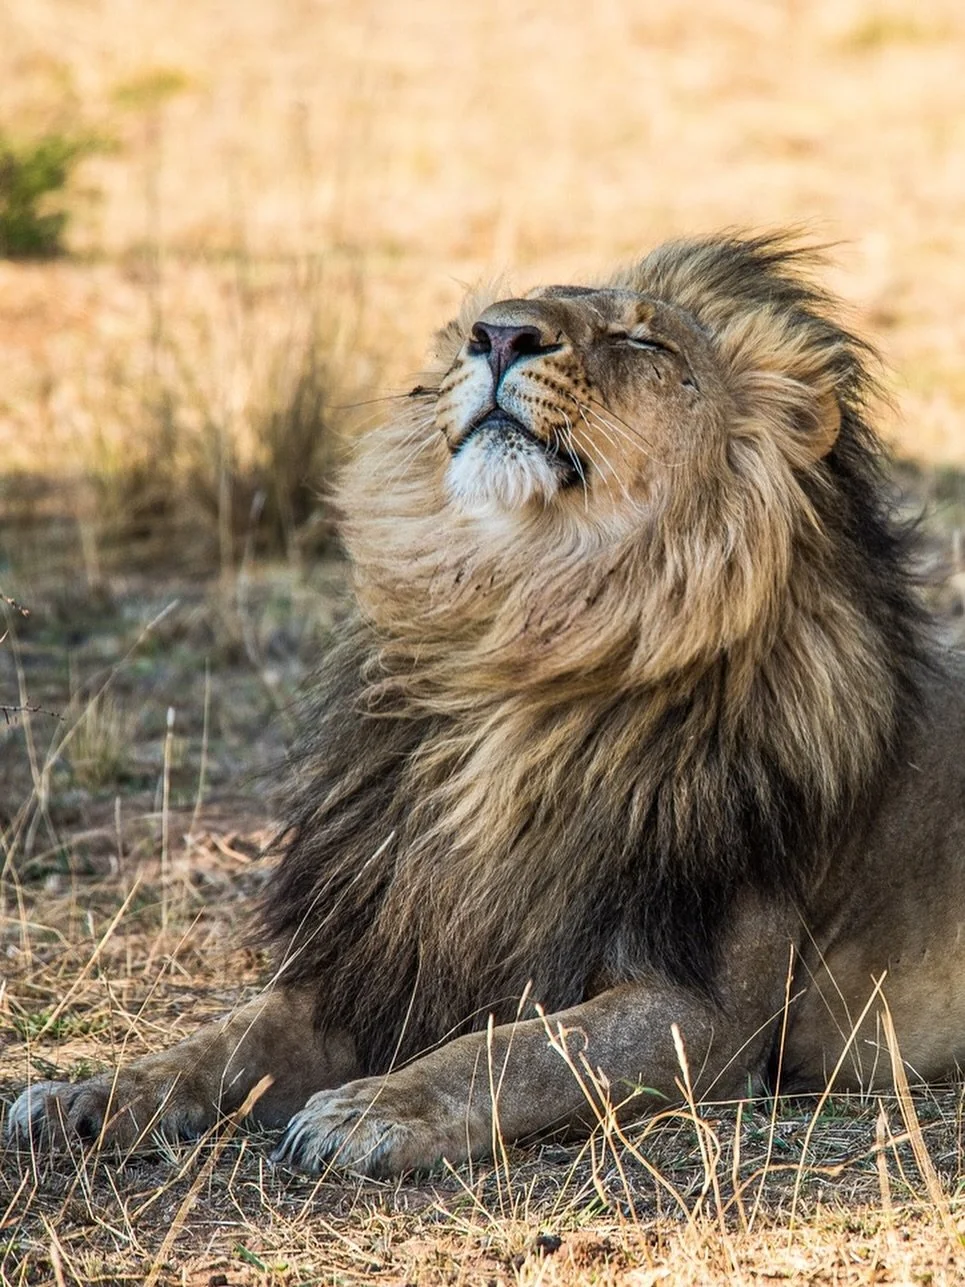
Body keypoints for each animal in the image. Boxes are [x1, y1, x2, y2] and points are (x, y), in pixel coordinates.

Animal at [9, 233, 965, 1179]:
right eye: (488, 320)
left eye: (643, 341)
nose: (500, 335)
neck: (520, 642)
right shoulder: (381, 952)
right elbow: (222, 1039)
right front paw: (85, 1093)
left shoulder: (708, 1013)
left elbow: (515, 1051)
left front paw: (371, 1109)